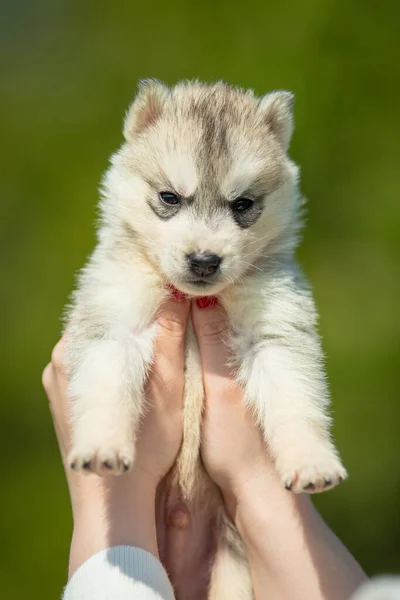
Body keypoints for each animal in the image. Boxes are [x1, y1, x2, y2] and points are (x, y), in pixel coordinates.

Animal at [64, 81, 346, 600]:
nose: (204, 261)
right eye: (169, 197)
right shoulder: (113, 322)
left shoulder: (276, 334)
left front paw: (311, 459)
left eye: (243, 204)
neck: (195, 304)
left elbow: (296, 401)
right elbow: (106, 385)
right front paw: (102, 444)